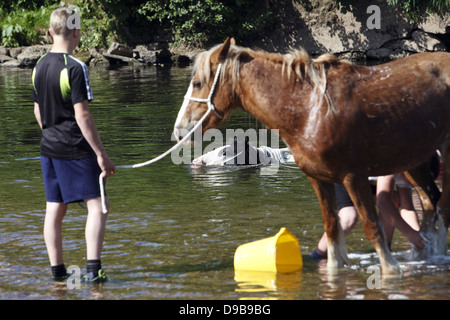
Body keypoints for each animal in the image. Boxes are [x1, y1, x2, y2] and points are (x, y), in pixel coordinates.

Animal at [173, 37, 450, 272]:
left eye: (197, 83)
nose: (179, 131)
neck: (309, 109)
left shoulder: (354, 176)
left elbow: (375, 233)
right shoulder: (320, 179)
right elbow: (333, 237)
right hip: (414, 163)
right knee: (431, 204)